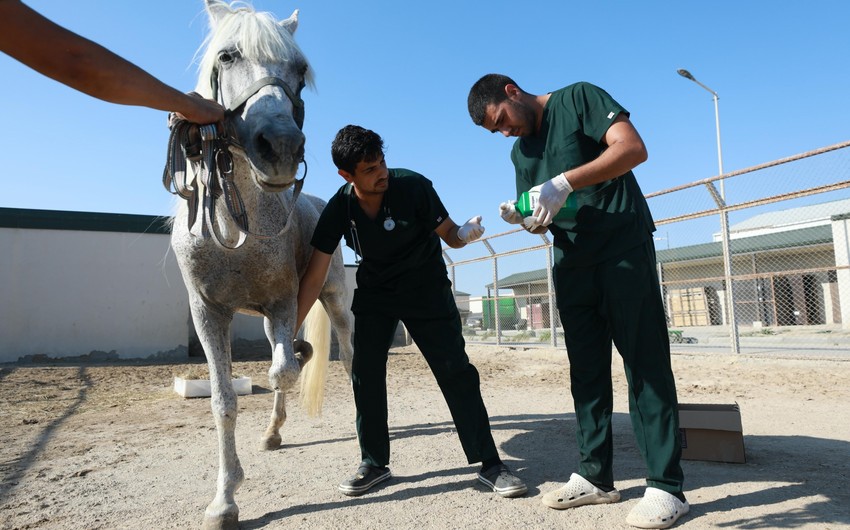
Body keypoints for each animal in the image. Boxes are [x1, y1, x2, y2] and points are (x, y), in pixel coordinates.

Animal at [164, 2, 352, 524]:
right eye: (227, 56)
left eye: (301, 71)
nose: (282, 146)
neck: (235, 231)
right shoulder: (209, 313)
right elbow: (224, 402)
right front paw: (225, 499)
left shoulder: (283, 302)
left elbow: (281, 372)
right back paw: (272, 434)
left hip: (335, 303)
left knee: (350, 360)